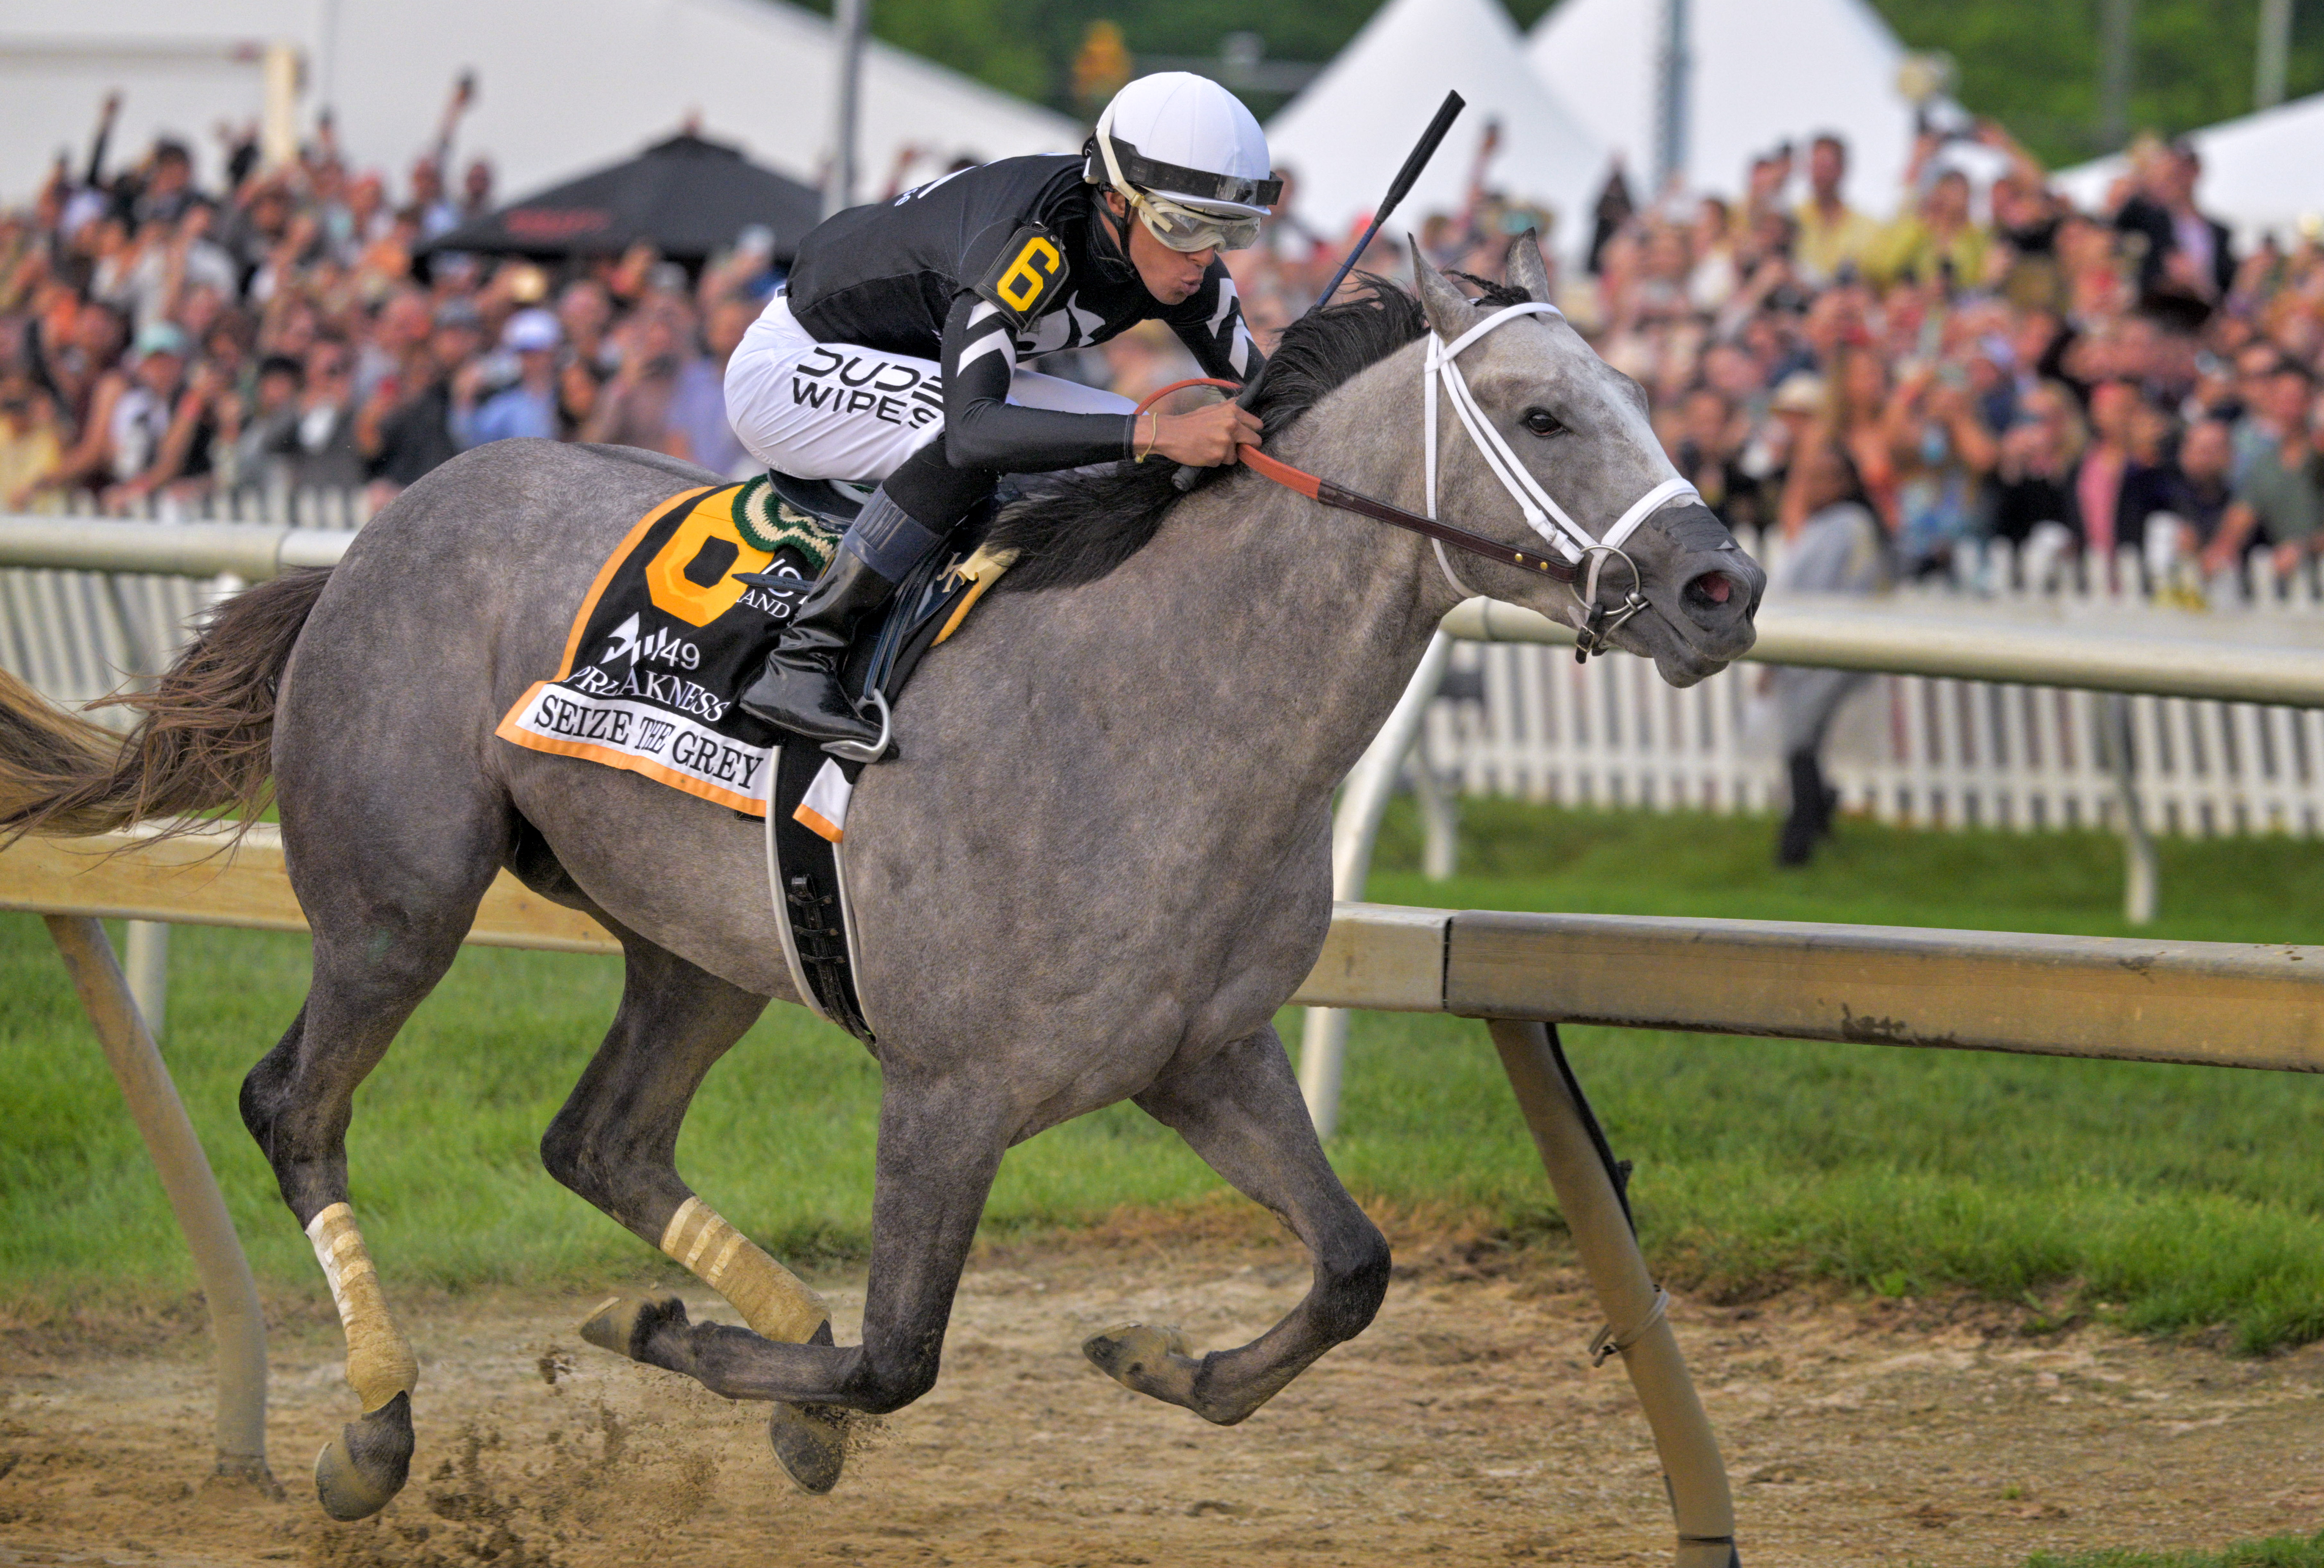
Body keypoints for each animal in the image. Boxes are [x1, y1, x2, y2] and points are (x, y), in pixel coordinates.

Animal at [0, 243, 1757, 1524]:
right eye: (1542, 417)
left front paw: (1156, 1361)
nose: (1720, 585)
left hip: (697, 947)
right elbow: (897, 1359)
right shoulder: (946, 1091)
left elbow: (1352, 1268)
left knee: (599, 1140)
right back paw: (374, 1424)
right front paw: (667, 1337)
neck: (1160, 704)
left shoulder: (1201, 1055)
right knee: (296, 1103)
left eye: (1636, 391)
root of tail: (369, 537)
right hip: (398, 899)